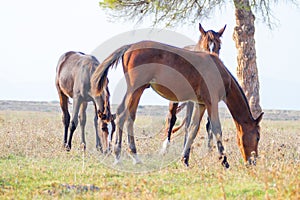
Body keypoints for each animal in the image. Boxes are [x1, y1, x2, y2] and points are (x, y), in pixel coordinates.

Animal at [91, 39, 262, 167]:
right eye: (258, 137)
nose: (253, 161)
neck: (220, 72)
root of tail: (130, 47)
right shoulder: (212, 102)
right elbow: (217, 129)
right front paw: (224, 161)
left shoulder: (201, 104)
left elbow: (193, 129)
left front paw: (185, 159)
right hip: (135, 88)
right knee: (123, 115)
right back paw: (122, 156)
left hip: (136, 90)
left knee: (127, 116)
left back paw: (130, 156)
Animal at [163, 23, 226, 155]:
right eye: (205, 46)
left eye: (219, 47)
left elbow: (209, 124)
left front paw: (209, 150)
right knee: (172, 119)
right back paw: (166, 148)